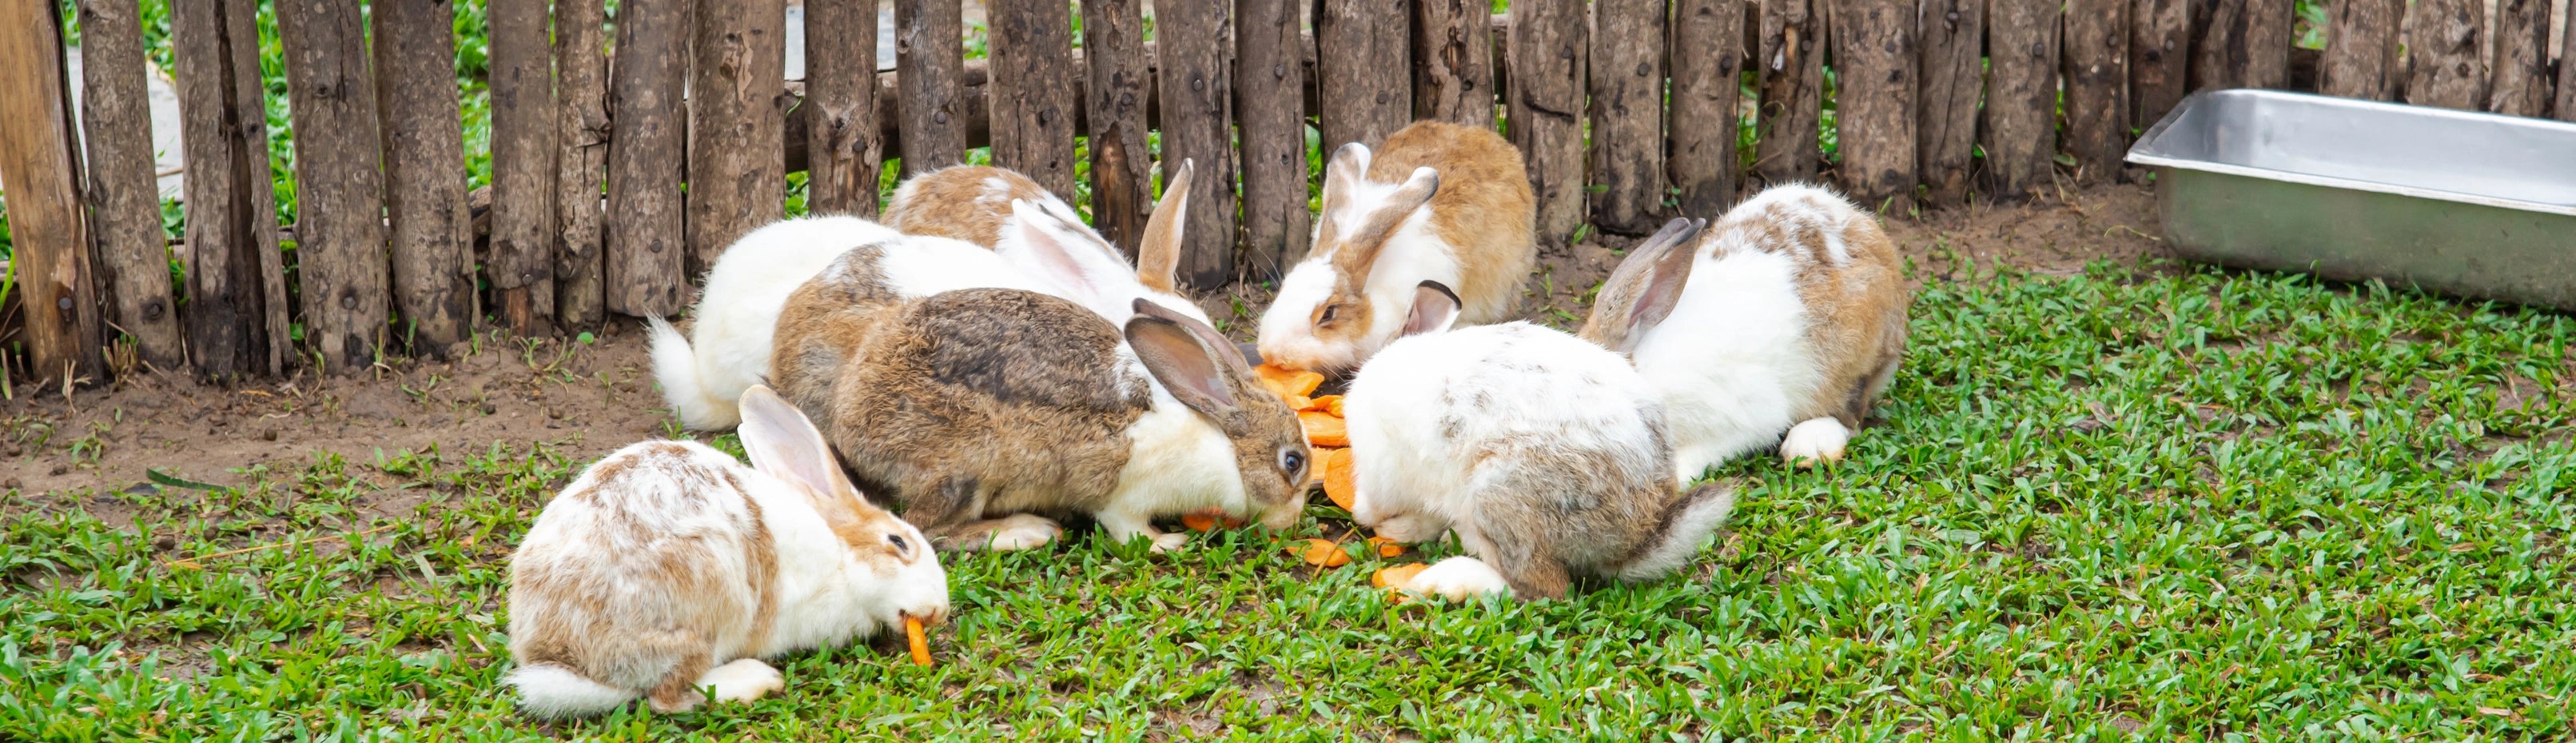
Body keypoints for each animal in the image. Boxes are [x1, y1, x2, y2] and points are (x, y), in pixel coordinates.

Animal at [505, 385, 949, 718]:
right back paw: (757, 680)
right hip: (704, 614)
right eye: (898, 542)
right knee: (666, 697)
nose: (941, 611)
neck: (841, 558)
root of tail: (561, 659)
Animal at [790, 285, 1310, 554]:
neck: (1220, 439)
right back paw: (1027, 531)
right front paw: (1170, 543)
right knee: (925, 530)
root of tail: (852, 418)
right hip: (968, 467)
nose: (1290, 521)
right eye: (1292, 463)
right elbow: (1128, 532)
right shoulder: (1118, 490)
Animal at [1341, 281, 1735, 601]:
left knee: (1545, 588)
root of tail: (1639, 533)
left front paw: (1377, 521)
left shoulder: (1382, 467)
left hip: (1496, 493)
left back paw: (1447, 580)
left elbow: (1374, 503)